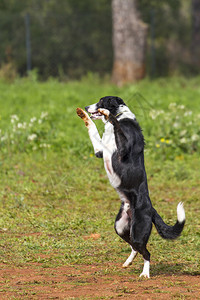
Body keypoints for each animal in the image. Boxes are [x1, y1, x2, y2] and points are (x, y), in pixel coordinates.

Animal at [76, 96, 184, 276]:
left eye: (101, 102)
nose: (85, 106)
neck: (121, 116)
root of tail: (151, 209)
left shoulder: (122, 149)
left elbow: (116, 126)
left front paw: (108, 116)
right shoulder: (100, 151)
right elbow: (92, 128)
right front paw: (83, 115)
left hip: (139, 230)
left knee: (146, 252)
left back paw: (145, 274)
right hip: (121, 227)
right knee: (135, 247)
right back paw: (128, 262)